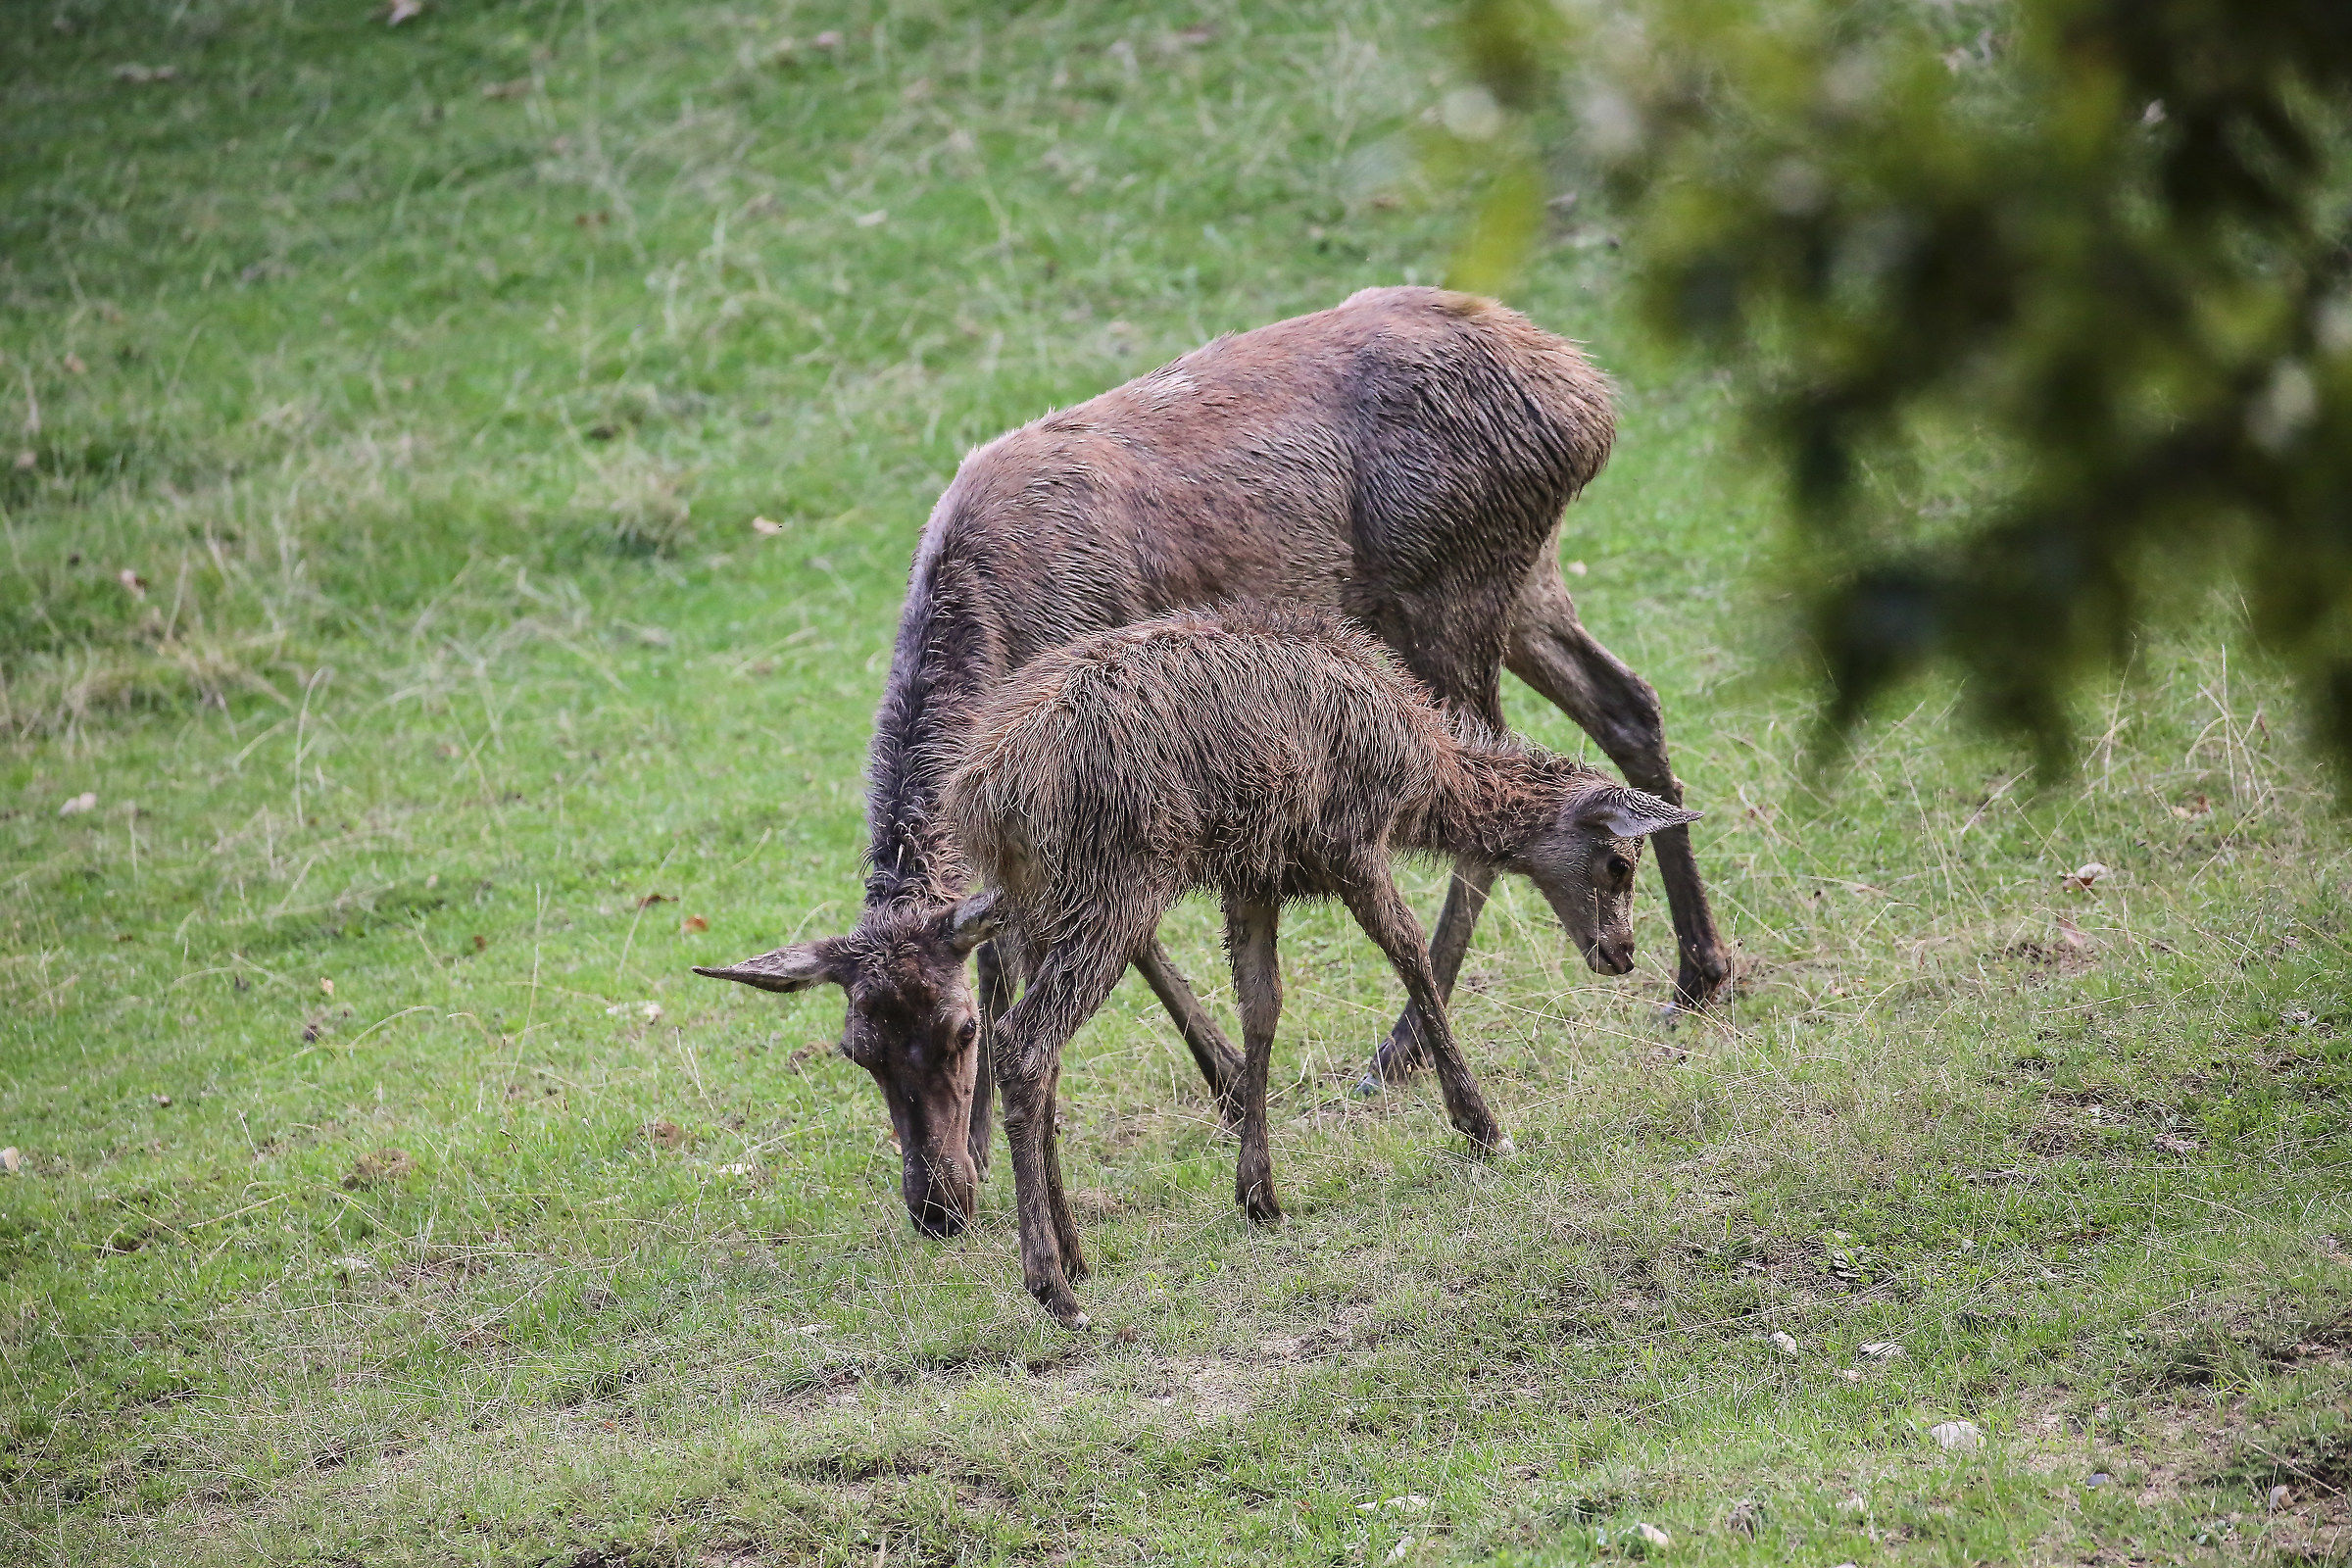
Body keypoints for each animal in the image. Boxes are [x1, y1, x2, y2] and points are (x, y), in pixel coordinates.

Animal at [695, 286, 1729, 1243]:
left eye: (957, 1037)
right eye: (856, 1050)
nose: (935, 1205)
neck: (998, 615)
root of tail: (1589, 396)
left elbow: (1084, 948)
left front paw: (1226, 1088)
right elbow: (1028, 948)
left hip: (1452, 587)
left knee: (1481, 788)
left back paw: (1402, 1055)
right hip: (1524, 576)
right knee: (1628, 706)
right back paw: (1699, 970)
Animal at [940, 604, 1698, 1325]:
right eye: (1619, 862)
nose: (1622, 952)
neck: (1425, 776)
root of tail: (984, 801)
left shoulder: (1252, 872)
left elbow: (1262, 1005)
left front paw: (1258, 1192)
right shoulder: (1349, 840)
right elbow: (1410, 954)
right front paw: (1484, 1126)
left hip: (1042, 905)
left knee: (1039, 1052)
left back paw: (1075, 1252)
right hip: (1118, 886)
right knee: (1024, 1041)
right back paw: (1053, 1288)